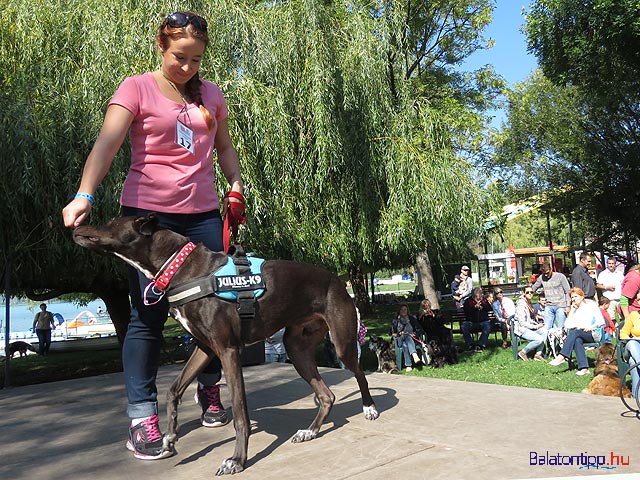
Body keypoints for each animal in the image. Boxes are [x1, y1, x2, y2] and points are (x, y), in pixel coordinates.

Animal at [72, 215, 378, 476]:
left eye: (111, 221)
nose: (76, 226)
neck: (179, 267)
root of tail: (337, 280)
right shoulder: (205, 348)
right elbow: (173, 391)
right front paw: (169, 438)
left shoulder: (228, 350)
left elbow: (241, 414)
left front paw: (237, 460)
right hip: (297, 348)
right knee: (327, 395)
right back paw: (310, 431)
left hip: (342, 343)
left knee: (360, 373)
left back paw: (369, 408)